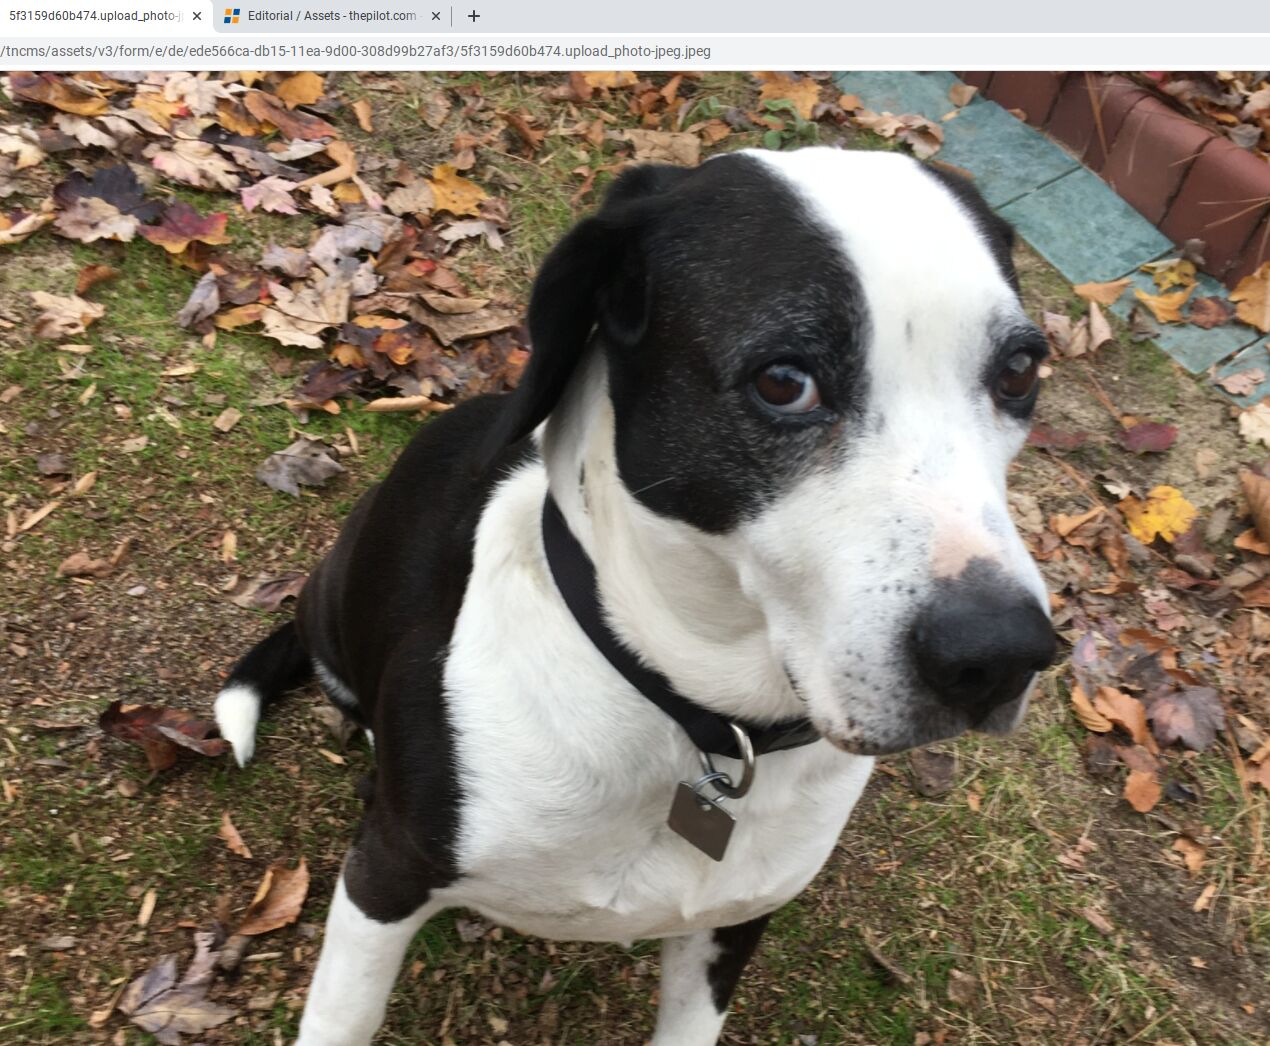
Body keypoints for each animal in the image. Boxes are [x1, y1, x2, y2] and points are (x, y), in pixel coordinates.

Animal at [213, 142, 1056, 1040]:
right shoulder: (382, 879)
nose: (1000, 655)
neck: (699, 719)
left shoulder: (732, 922)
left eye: (1019, 371)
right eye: (784, 380)